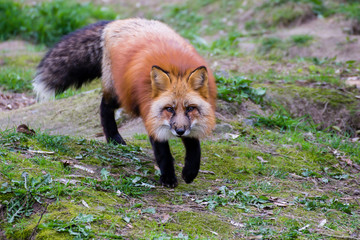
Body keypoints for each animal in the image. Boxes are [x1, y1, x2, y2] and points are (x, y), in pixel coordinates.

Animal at [33, 18, 217, 188]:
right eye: (169, 109)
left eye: (190, 108)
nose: (179, 131)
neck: (177, 69)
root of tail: (116, 22)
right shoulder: (151, 117)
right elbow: (163, 153)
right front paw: (168, 177)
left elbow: (195, 149)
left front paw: (190, 172)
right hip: (119, 93)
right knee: (104, 107)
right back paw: (113, 138)